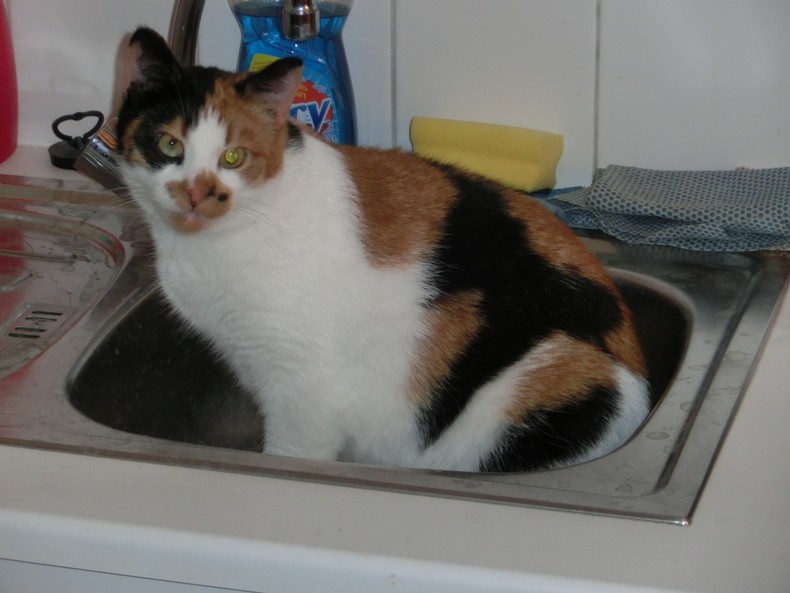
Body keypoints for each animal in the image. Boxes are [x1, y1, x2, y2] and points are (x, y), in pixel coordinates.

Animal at [116, 27, 650, 472]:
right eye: (169, 145)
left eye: (233, 157)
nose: (195, 193)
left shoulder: (301, 387)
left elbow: (292, 452)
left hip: (551, 382)